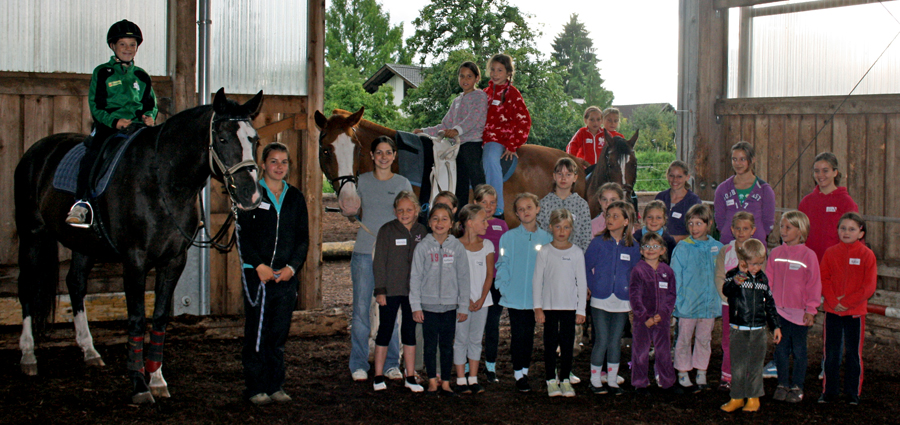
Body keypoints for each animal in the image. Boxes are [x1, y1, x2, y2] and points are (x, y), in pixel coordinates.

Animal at [13, 88, 264, 402]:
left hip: (83, 244)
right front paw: (139, 384)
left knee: (75, 283)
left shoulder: (173, 261)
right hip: (32, 234)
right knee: (27, 286)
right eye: (222, 139)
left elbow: (158, 318)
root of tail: (37, 150)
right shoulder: (135, 261)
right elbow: (135, 318)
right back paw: (28, 355)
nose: (250, 195)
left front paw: (156, 378)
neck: (162, 182)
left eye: (254, 139)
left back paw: (89, 350)